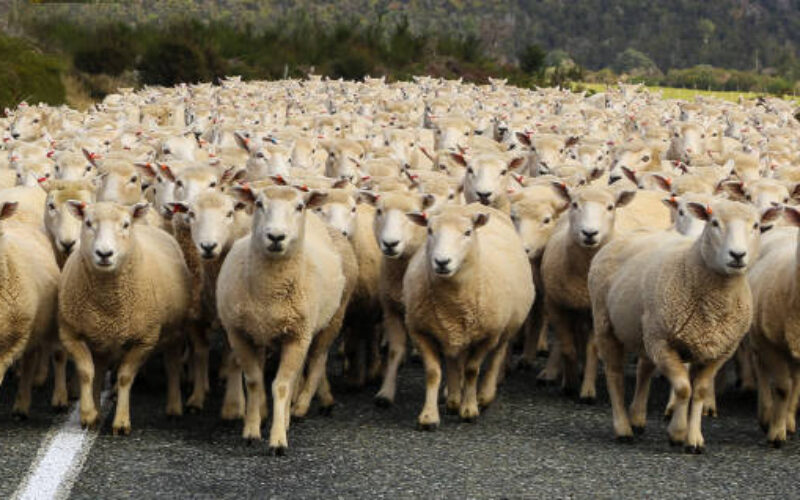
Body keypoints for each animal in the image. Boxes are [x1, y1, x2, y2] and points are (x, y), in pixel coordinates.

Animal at [58, 201, 192, 434]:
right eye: (88, 223)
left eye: (125, 225)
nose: (104, 253)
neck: (107, 306)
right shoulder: (71, 334)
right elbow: (87, 373)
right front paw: (89, 415)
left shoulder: (144, 340)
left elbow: (124, 377)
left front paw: (121, 422)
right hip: (100, 339)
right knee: (99, 370)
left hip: (175, 332)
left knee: (172, 366)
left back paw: (174, 408)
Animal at [217, 185, 348, 454]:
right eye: (258, 203)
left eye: (299, 206)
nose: (276, 236)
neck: (270, 294)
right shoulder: (240, 333)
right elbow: (254, 380)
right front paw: (251, 430)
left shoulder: (297, 335)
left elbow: (281, 385)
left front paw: (278, 439)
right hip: (265, 332)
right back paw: (265, 413)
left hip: (327, 323)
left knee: (312, 364)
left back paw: (294, 412)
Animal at [402, 204, 534, 427]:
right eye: (429, 230)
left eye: (467, 232)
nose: (442, 262)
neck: (452, 303)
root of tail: (479, 206)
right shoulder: (421, 332)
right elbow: (433, 373)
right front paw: (429, 416)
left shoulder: (487, 336)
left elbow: (472, 370)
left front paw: (469, 409)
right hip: (453, 334)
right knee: (454, 360)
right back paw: (454, 398)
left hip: (506, 327)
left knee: (497, 355)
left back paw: (485, 395)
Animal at [589, 200, 780, 452]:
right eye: (714, 223)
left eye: (756, 225)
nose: (737, 255)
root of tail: (628, 235)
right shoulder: (664, 343)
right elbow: (683, 388)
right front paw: (677, 433)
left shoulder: (718, 351)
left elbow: (698, 391)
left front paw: (694, 439)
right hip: (606, 324)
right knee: (614, 374)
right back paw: (623, 428)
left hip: (645, 332)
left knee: (644, 370)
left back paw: (637, 418)